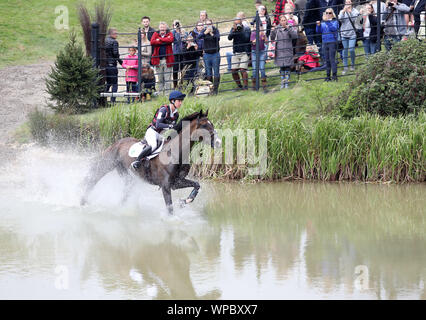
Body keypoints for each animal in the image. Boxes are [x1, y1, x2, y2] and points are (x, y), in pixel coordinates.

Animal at [80, 109, 221, 214]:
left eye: (212, 124)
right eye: (204, 125)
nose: (219, 142)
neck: (175, 153)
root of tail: (118, 142)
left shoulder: (177, 182)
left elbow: (196, 185)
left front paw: (186, 201)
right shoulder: (165, 186)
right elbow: (170, 208)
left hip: (126, 174)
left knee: (125, 191)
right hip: (107, 164)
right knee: (93, 179)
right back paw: (82, 201)